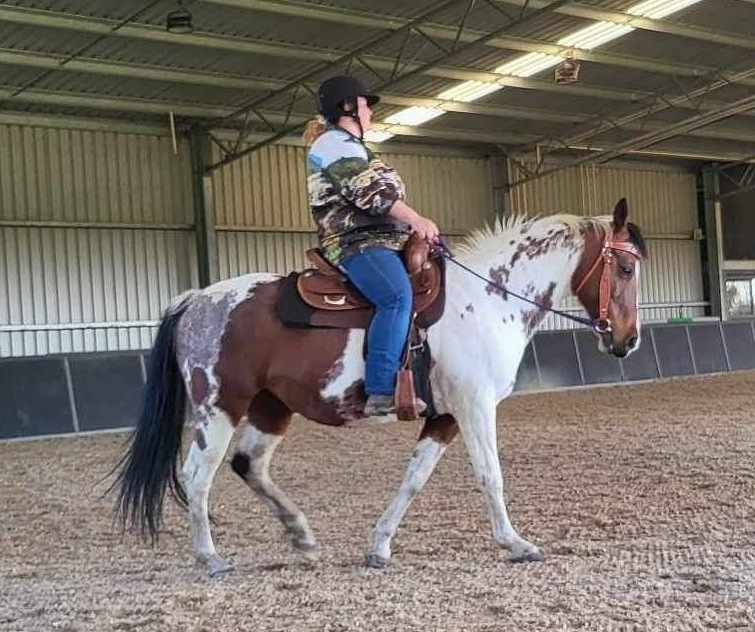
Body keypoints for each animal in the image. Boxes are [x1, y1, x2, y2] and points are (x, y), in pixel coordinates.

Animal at [113, 197, 646, 576]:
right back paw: (210, 557)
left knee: (250, 465)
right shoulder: (474, 407)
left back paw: (301, 536)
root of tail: (196, 299)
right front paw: (516, 544)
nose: (628, 340)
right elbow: (489, 475)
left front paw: (379, 547)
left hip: (271, 408)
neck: (487, 299)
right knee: (196, 475)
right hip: (219, 405)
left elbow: (414, 478)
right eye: (625, 268)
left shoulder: (445, 417)